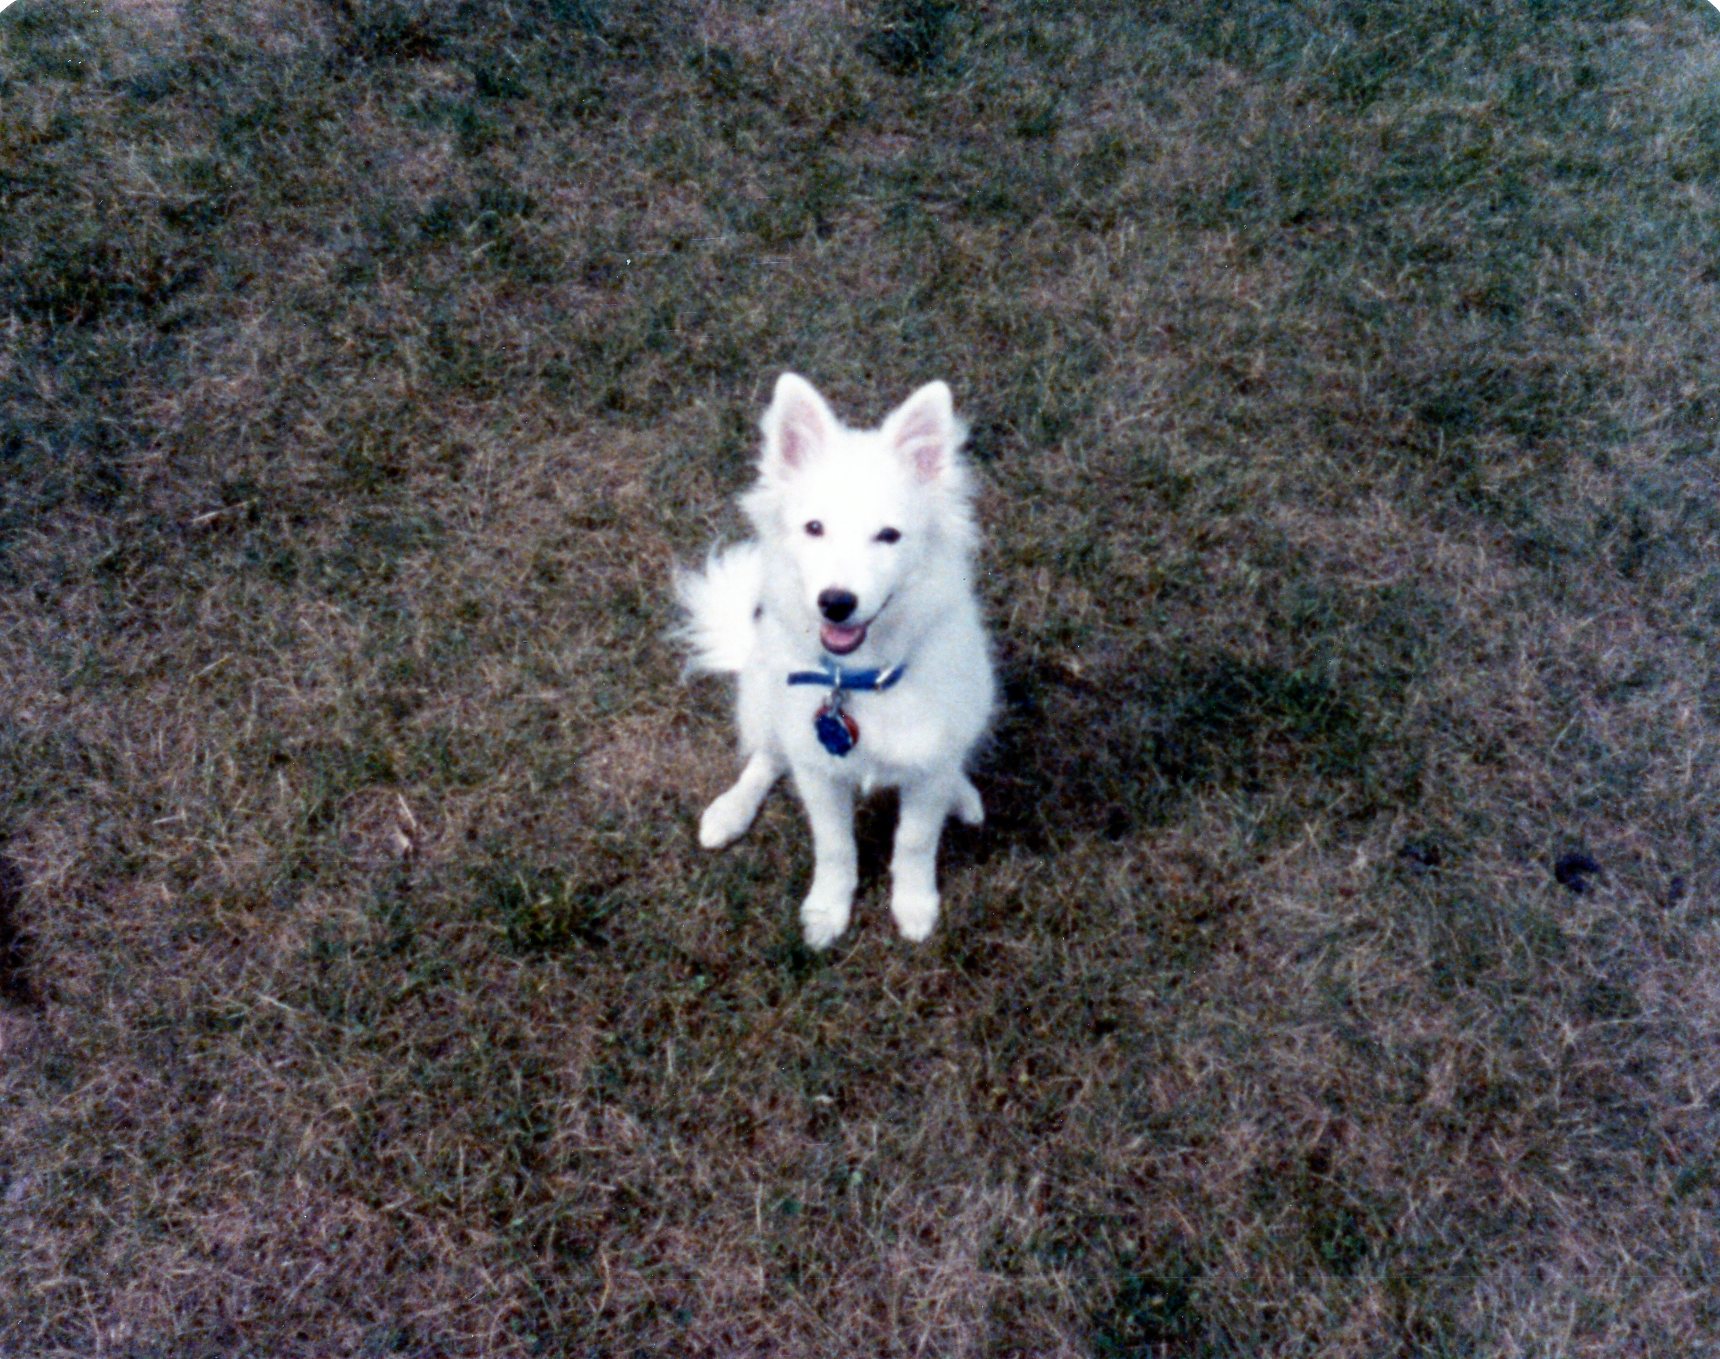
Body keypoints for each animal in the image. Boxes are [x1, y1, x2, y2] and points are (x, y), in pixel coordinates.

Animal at [676, 373, 995, 948]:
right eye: (814, 528)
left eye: (888, 535)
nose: (836, 602)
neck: (861, 679)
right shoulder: (818, 773)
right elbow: (835, 847)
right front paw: (827, 910)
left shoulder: (926, 770)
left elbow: (915, 841)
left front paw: (914, 905)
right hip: (761, 700)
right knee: (765, 758)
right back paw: (730, 811)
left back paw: (962, 794)